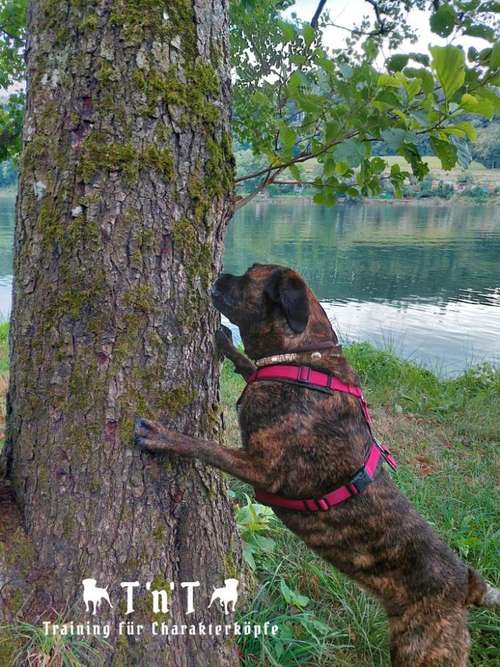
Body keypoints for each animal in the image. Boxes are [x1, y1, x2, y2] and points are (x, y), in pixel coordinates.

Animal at [135, 264, 498, 664]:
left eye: (249, 276)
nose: (222, 274)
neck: (305, 358)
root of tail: (465, 583)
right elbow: (249, 365)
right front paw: (228, 346)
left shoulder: (264, 469)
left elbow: (206, 447)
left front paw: (166, 437)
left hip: (423, 649)